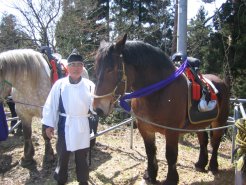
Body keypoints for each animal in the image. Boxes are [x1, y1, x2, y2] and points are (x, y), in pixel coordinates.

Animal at [93, 34, 230, 185]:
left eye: (111, 69)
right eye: (96, 68)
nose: (98, 109)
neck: (158, 93)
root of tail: (220, 81)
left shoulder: (172, 131)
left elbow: (170, 155)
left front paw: (171, 179)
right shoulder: (145, 128)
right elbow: (150, 151)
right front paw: (151, 175)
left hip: (220, 121)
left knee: (215, 142)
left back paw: (213, 166)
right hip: (199, 124)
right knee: (203, 140)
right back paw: (201, 163)